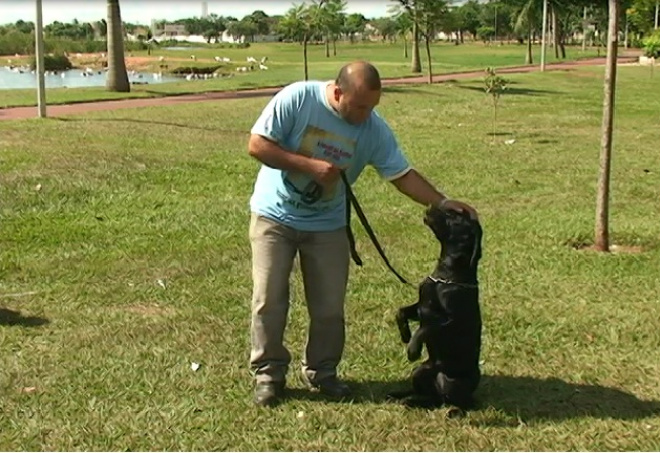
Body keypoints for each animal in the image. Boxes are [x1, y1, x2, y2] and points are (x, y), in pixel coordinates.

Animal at [390, 203, 482, 408]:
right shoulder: (421, 307)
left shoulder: (449, 319)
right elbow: (401, 312)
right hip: (419, 372)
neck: (446, 276)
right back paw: (402, 396)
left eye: (455, 217)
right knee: (431, 397)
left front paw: (412, 350)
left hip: (453, 383)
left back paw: (452, 411)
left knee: (456, 402)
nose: (432, 205)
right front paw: (406, 336)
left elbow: (425, 329)